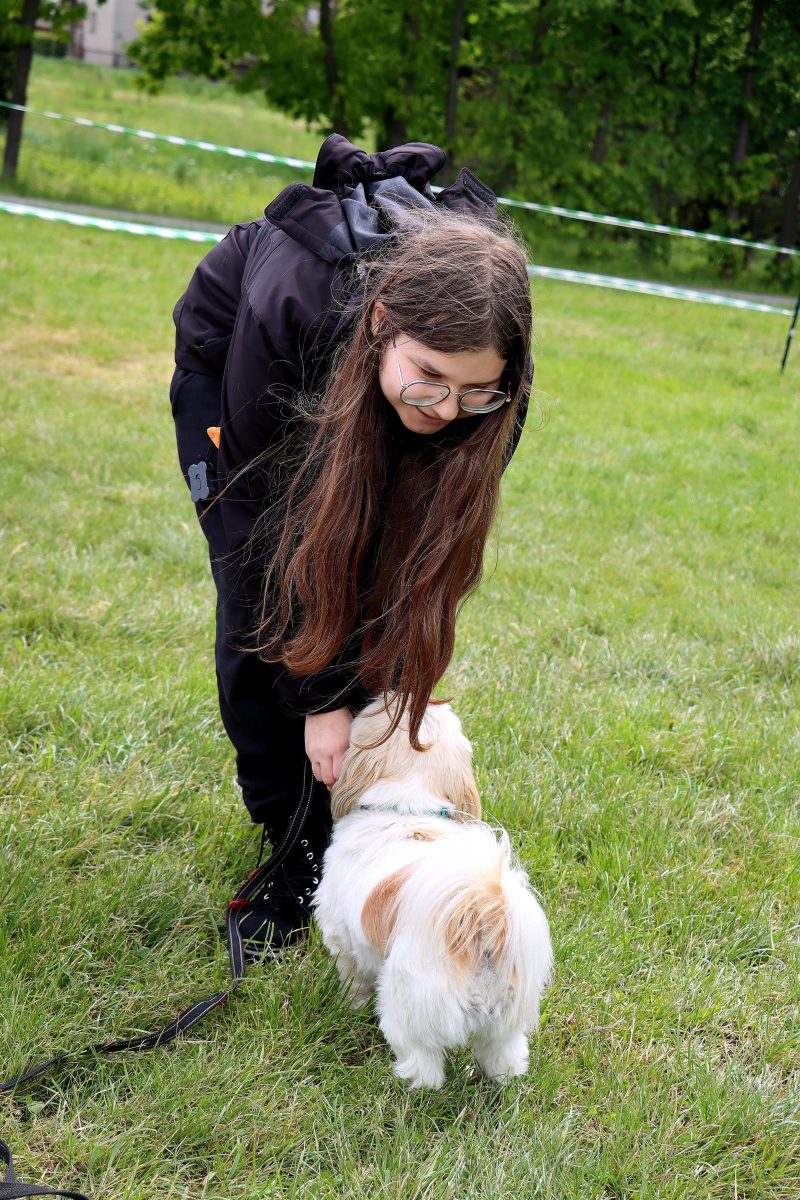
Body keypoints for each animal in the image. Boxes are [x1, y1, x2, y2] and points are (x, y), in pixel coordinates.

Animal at [311, 697, 554, 1089]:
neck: (406, 812)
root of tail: (483, 921)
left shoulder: (342, 937)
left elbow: (353, 976)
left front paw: (350, 1003)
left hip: (407, 1007)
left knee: (423, 1061)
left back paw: (406, 1082)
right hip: (505, 1023)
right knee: (503, 1056)